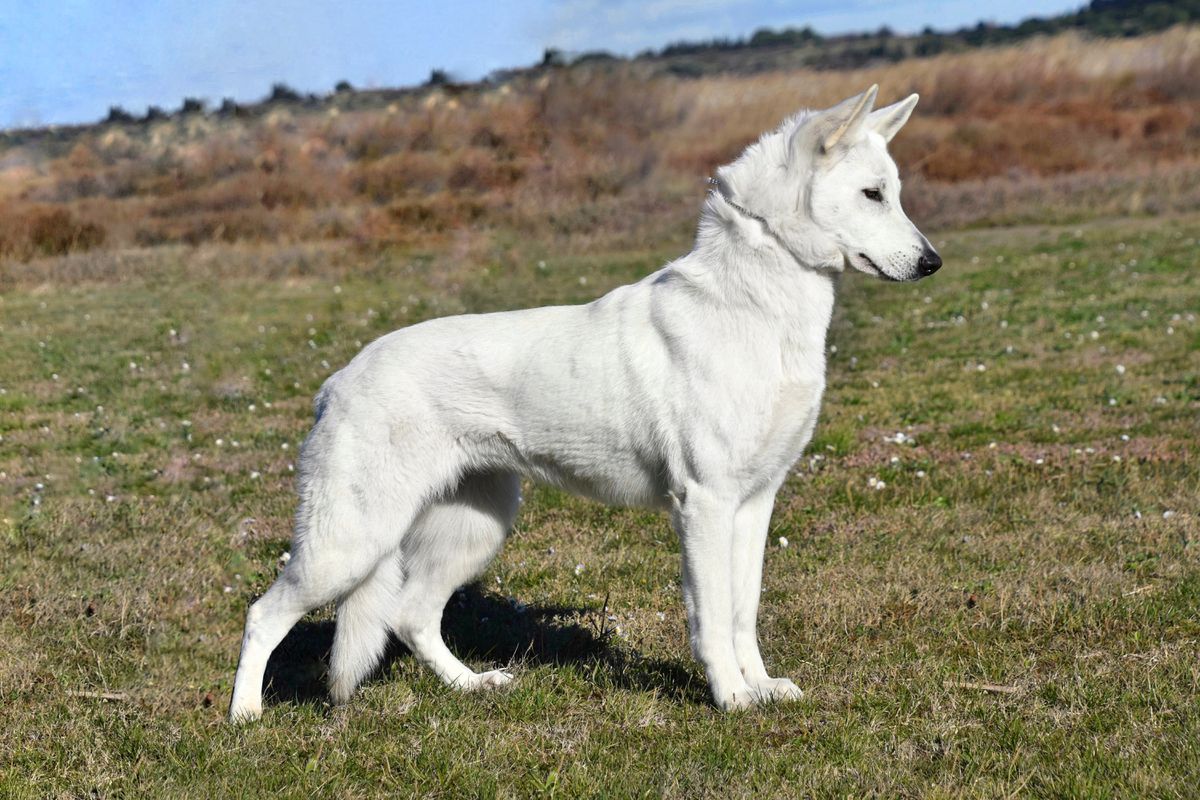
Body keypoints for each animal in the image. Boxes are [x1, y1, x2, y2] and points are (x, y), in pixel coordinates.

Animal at [225, 86, 936, 719]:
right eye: (873, 194)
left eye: (893, 192)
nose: (932, 263)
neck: (757, 304)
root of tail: (337, 380)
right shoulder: (705, 505)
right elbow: (711, 618)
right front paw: (731, 700)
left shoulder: (754, 503)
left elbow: (743, 610)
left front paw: (760, 689)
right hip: (349, 542)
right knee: (264, 615)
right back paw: (245, 718)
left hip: (474, 529)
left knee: (410, 616)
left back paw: (471, 686)